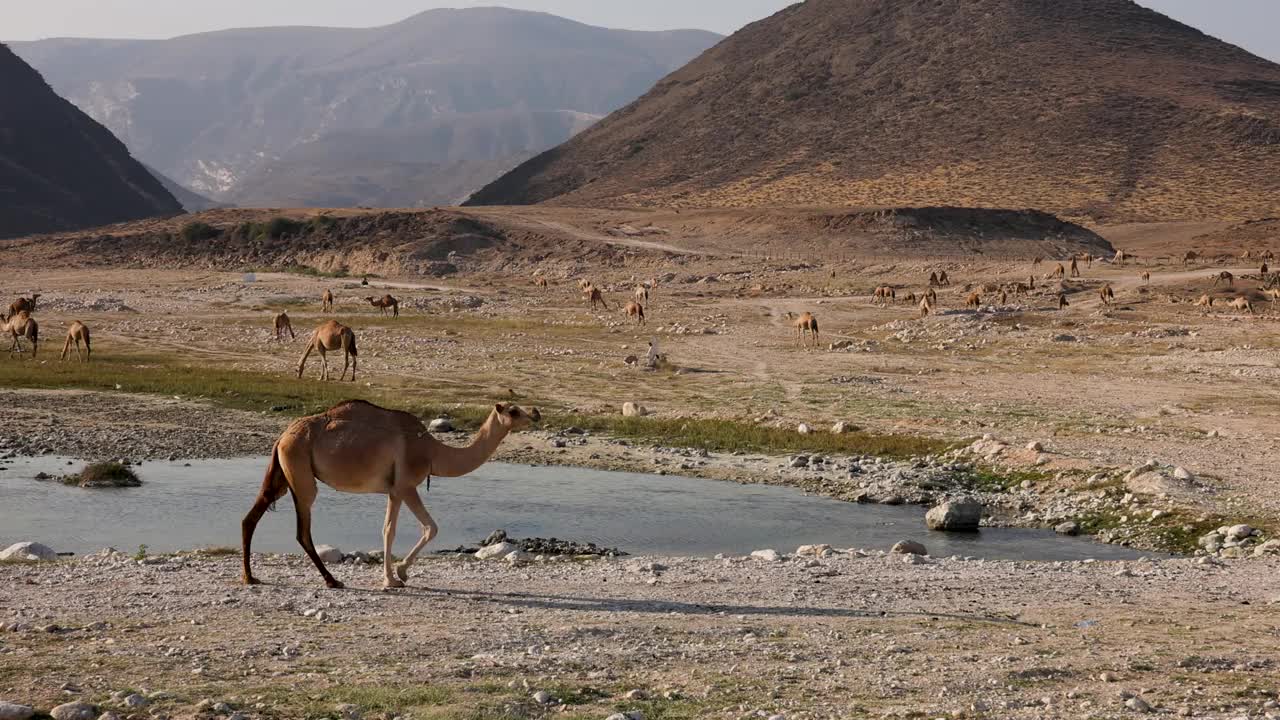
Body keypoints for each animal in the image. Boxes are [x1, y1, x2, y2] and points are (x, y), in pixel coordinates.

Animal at [241, 397, 542, 589]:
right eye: (513, 411)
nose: (535, 414)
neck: (433, 452)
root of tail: (282, 436)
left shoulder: (393, 490)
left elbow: (389, 529)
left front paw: (394, 575)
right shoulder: (405, 485)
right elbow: (424, 528)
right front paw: (397, 575)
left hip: (282, 474)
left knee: (251, 517)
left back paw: (250, 577)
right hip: (301, 474)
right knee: (302, 530)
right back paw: (332, 580)